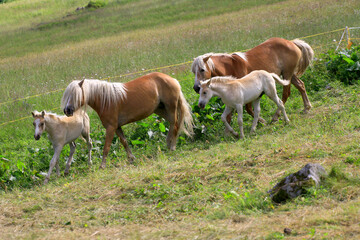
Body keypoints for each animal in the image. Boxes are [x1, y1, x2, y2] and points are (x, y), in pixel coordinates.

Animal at [61, 72, 194, 168]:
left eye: (75, 95)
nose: (67, 110)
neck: (106, 100)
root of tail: (172, 79)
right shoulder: (117, 127)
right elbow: (124, 142)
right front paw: (131, 158)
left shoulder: (110, 128)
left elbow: (106, 147)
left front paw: (102, 165)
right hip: (160, 109)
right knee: (172, 124)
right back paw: (168, 143)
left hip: (171, 107)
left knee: (175, 125)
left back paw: (172, 146)